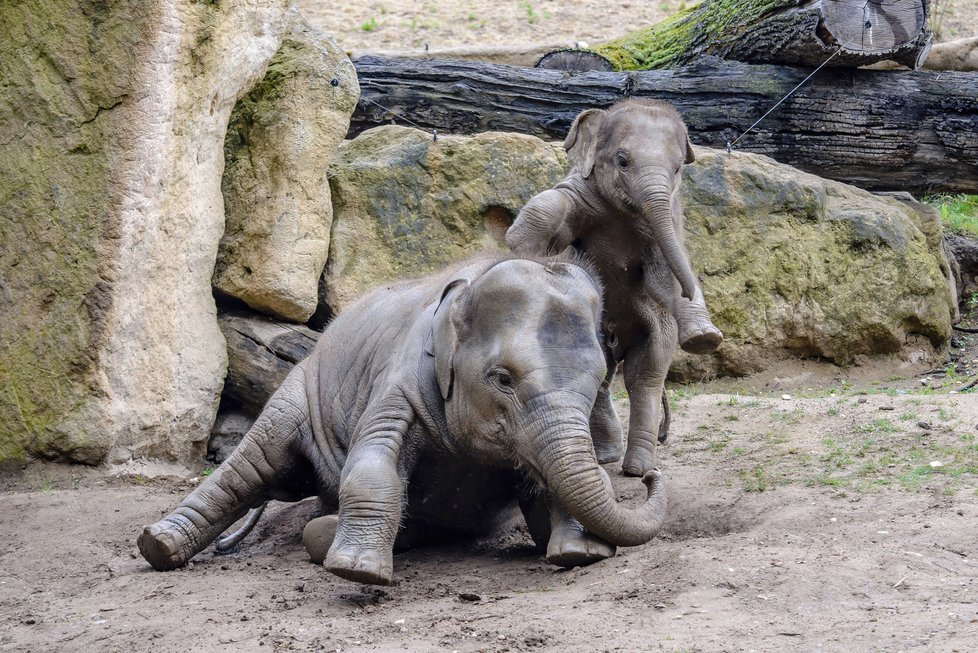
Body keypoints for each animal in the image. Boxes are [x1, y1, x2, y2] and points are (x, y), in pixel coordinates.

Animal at [139, 252, 672, 584]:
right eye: (502, 378)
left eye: (599, 381)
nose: (648, 475)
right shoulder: (402, 379)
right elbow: (374, 464)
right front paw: (356, 570)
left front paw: (581, 554)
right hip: (299, 386)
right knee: (250, 466)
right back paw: (158, 546)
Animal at [508, 98, 720, 474]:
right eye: (622, 161)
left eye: (678, 169)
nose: (691, 291)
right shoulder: (583, 191)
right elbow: (558, 206)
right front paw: (520, 245)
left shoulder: (667, 220)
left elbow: (663, 274)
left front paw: (703, 338)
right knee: (601, 375)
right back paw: (609, 456)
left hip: (656, 327)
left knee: (645, 376)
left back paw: (638, 469)